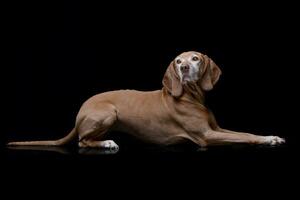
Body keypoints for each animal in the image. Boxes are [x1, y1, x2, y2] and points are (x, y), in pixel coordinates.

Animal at [6, 50, 284, 149]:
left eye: (195, 58)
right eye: (177, 61)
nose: (184, 68)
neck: (191, 97)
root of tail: (80, 111)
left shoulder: (217, 128)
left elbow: (245, 131)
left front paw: (271, 136)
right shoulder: (207, 136)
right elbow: (245, 137)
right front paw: (266, 140)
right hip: (108, 113)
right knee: (83, 141)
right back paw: (106, 143)